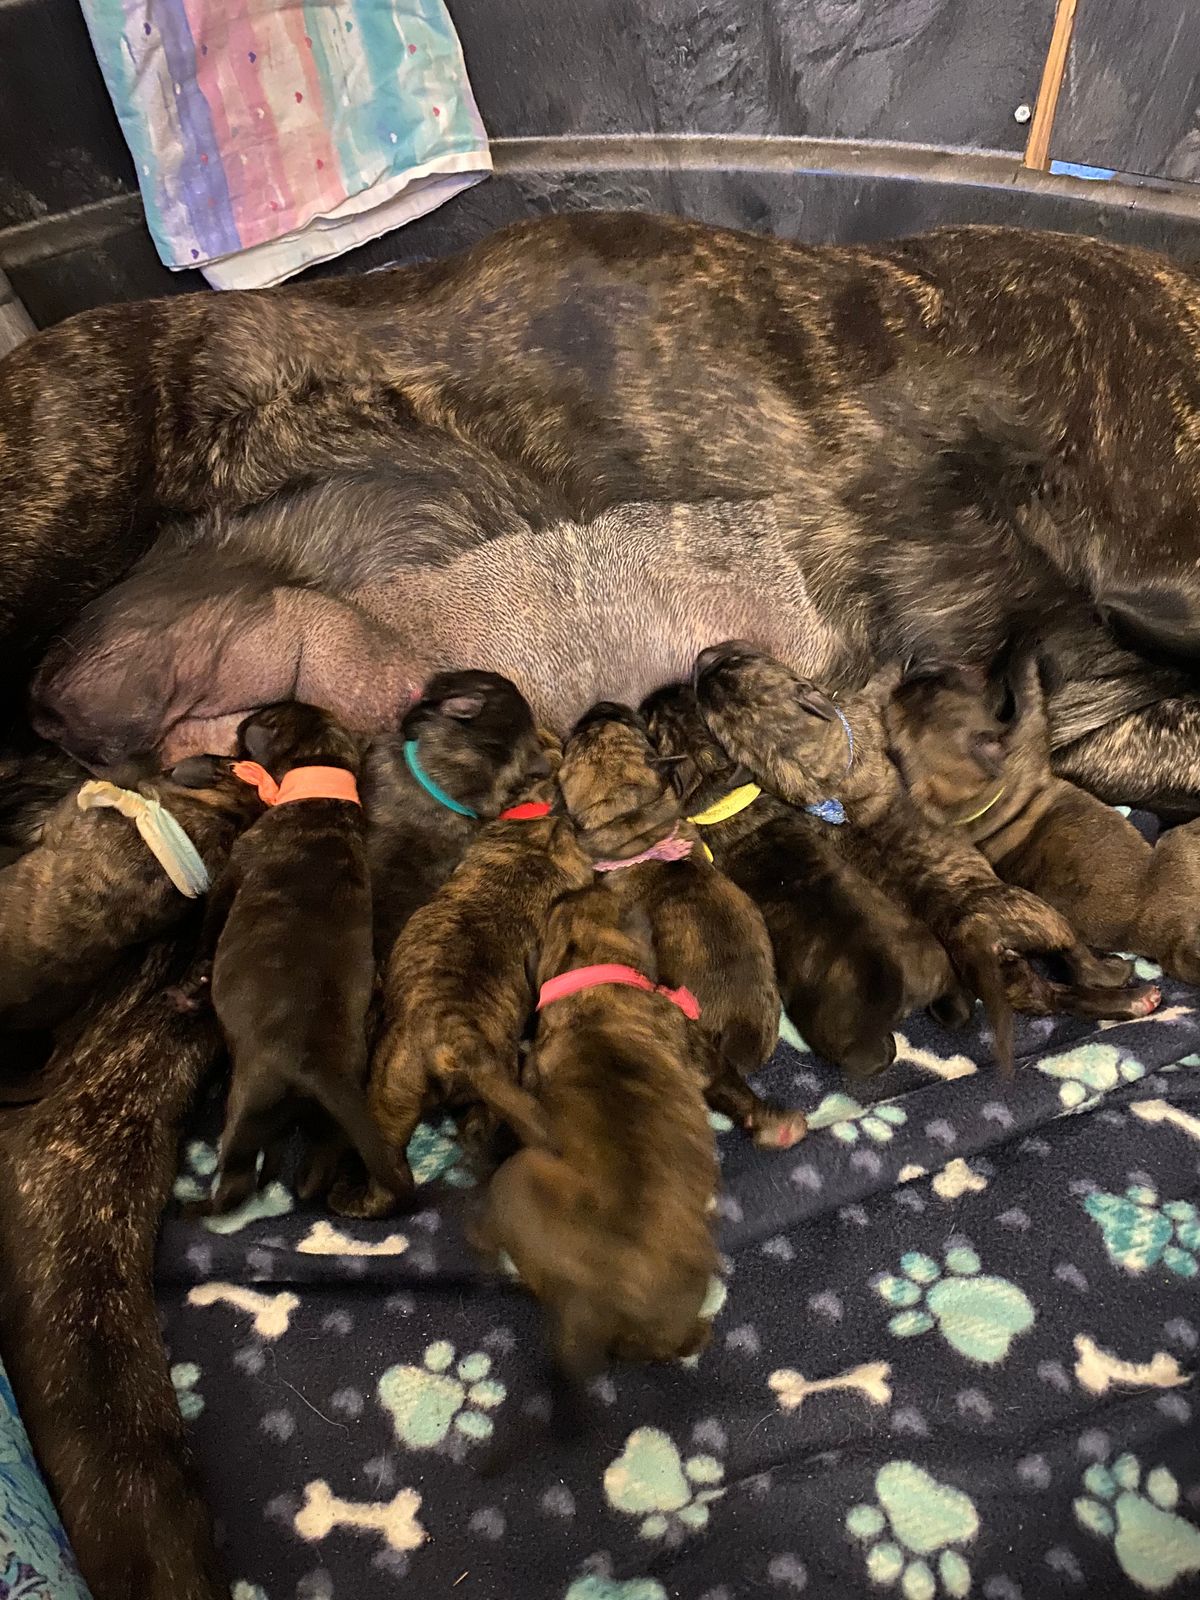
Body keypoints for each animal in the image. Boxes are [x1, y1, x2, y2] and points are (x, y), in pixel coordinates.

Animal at [192, 701, 397, 1213]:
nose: (239, 726)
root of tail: (317, 1067)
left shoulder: (231, 874)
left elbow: (210, 922)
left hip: (246, 1108)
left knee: (236, 1184)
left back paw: (200, 1204)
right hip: (337, 1119)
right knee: (319, 1164)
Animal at [331, 771, 594, 1218]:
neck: (541, 830)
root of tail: (458, 1039)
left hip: (388, 1092)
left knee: (393, 1177)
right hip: (490, 1084)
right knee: (473, 1130)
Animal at [642, 681, 968, 1077]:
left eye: (653, 727)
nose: (659, 691)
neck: (721, 788)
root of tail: (902, 986)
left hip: (837, 1036)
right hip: (937, 960)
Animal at [693, 643, 1161, 1068]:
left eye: (733, 663)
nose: (701, 658)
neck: (802, 765)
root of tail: (972, 934)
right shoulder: (867, 711)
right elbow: (887, 684)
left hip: (1011, 975)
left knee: (1050, 995)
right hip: (1040, 915)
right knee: (1076, 960)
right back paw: (1125, 984)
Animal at [888, 651, 1200, 985]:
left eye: (928, 690)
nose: (914, 669)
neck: (969, 797)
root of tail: (1168, 942)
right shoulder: (1029, 733)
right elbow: (1030, 692)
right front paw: (1024, 658)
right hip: (1176, 843)